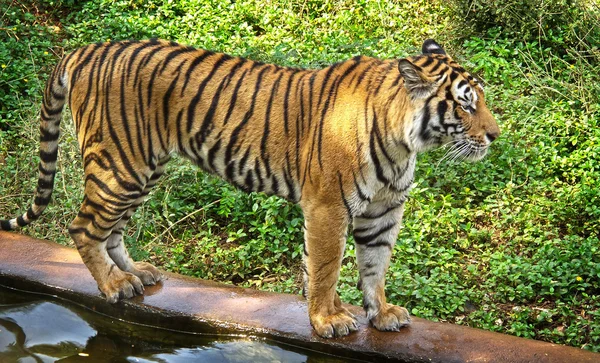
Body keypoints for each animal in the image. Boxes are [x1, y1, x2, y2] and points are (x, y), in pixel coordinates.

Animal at [0, 39, 500, 338]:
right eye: (464, 103)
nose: (495, 135)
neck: (405, 142)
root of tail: (86, 49)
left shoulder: (383, 211)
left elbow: (375, 267)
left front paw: (381, 313)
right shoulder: (328, 206)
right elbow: (326, 267)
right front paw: (328, 318)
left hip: (143, 169)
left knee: (113, 230)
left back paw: (135, 274)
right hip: (120, 165)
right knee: (84, 227)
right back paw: (113, 285)